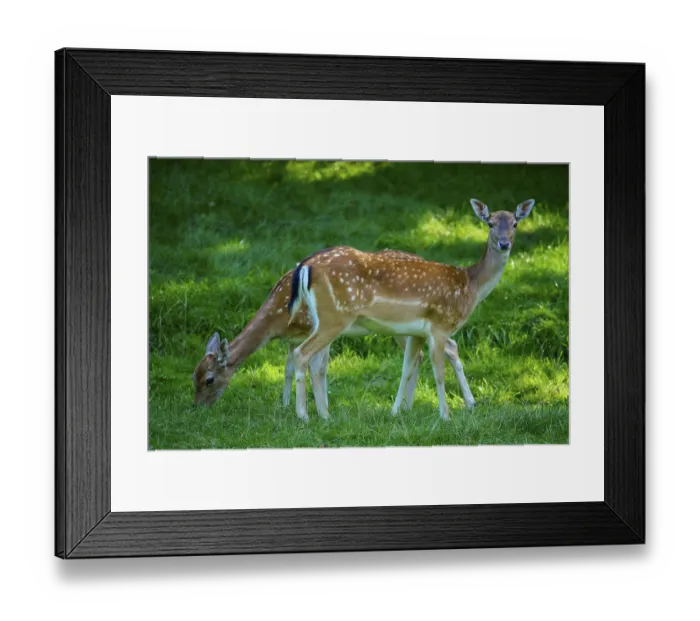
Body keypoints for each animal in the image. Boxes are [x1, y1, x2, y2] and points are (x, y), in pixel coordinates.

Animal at [192, 250, 470, 416]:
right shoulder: (292, 339)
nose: (197, 407)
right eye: (193, 376)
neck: (277, 320)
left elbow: (318, 368)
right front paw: (287, 406)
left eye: (209, 379)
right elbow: (290, 369)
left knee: (447, 348)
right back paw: (409, 406)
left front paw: (321, 410)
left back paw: (468, 403)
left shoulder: (316, 328)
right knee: (424, 354)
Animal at [287, 198, 536, 422]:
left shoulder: (417, 332)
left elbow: (406, 368)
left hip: (324, 319)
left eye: (515, 223)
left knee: (314, 362)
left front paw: (396, 412)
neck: (469, 286)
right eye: (490, 223)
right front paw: (446, 416)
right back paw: (304, 415)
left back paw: (323, 414)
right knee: (301, 353)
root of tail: (305, 266)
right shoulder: (439, 326)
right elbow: (438, 373)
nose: (504, 243)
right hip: (334, 317)